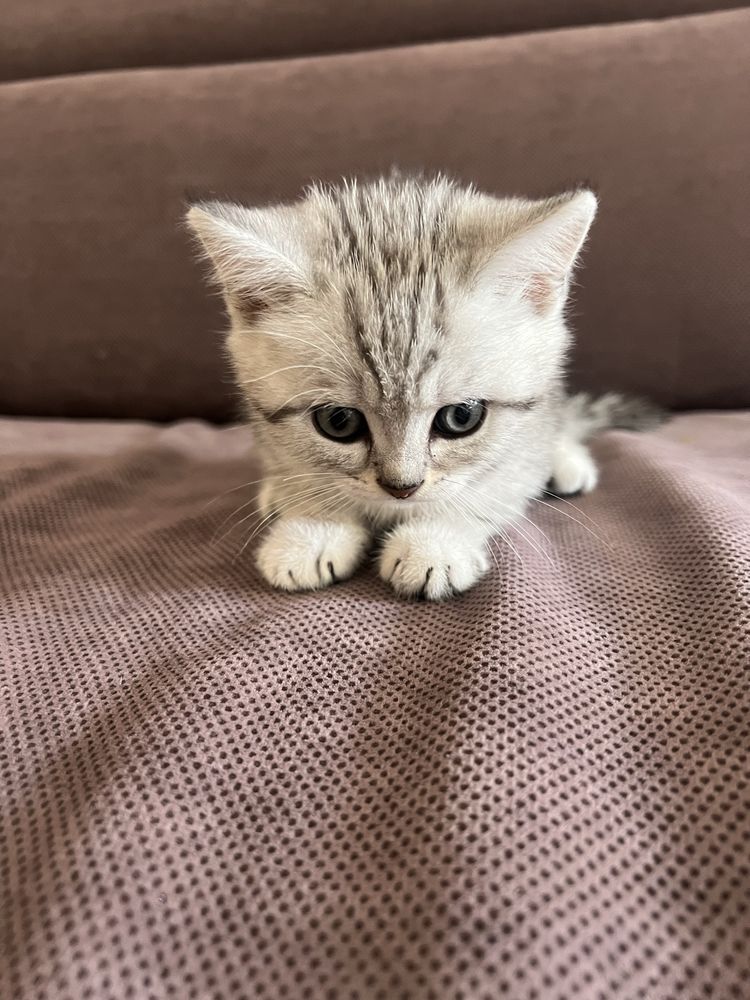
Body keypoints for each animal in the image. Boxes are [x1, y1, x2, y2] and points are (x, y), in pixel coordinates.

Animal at [188, 175, 664, 596]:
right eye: (338, 422)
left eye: (462, 417)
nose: (402, 488)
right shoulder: (273, 430)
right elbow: (300, 466)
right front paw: (313, 527)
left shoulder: (518, 441)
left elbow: (495, 481)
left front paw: (435, 540)